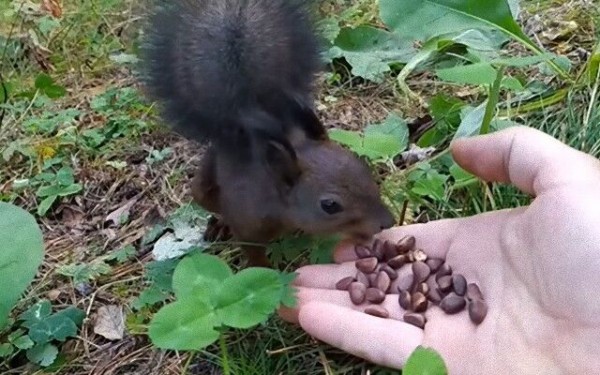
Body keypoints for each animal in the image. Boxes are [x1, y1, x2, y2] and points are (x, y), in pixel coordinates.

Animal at [138, 0, 396, 268]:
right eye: (330, 206)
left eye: (364, 167)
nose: (387, 222)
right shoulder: (247, 224)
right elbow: (254, 255)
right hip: (205, 184)